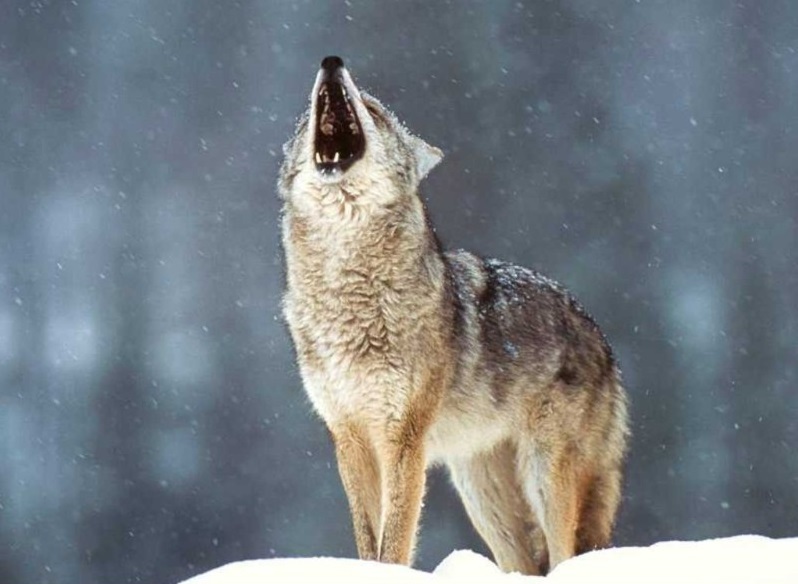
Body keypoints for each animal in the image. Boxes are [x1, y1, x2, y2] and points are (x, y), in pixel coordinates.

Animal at [278, 56, 628, 576]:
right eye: (306, 118)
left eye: (374, 111)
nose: (332, 62)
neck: (348, 296)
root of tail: (602, 340)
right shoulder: (349, 436)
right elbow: (367, 539)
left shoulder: (403, 438)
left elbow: (394, 542)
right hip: (481, 496)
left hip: (545, 476)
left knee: (565, 553)